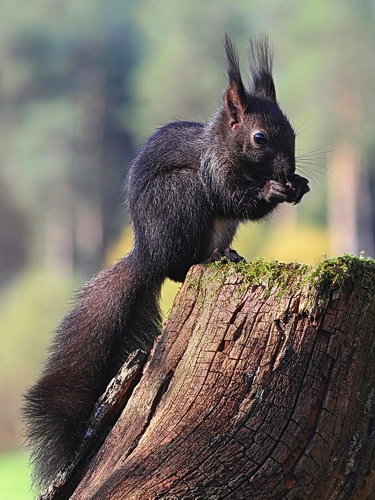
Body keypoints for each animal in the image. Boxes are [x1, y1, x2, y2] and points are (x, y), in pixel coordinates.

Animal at [24, 35, 312, 488]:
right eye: (260, 137)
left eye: (293, 131)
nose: (288, 170)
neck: (224, 147)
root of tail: (149, 253)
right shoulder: (213, 173)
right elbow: (234, 200)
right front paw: (274, 190)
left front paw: (298, 184)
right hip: (181, 196)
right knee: (180, 266)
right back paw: (212, 257)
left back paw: (227, 253)